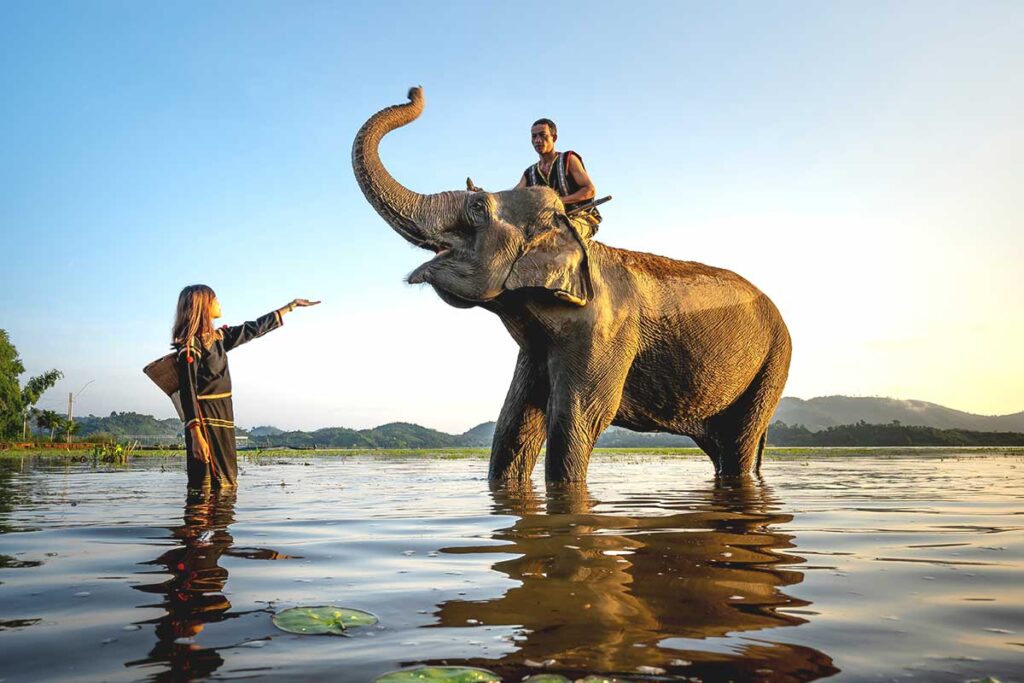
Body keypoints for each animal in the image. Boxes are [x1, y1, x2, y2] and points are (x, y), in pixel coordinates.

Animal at [352, 87, 792, 482]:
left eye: (478, 208)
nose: (415, 90)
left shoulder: (605, 331)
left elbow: (579, 415)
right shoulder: (535, 344)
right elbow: (515, 419)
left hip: (773, 365)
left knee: (738, 445)